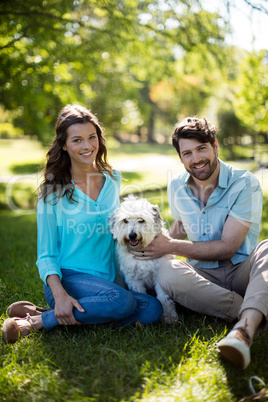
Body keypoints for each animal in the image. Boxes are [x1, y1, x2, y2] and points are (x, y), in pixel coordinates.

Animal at [109, 195, 180, 324]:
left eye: (141, 220)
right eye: (125, 220)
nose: (132, 235)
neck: (141, 250)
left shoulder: (159, 275)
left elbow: (164, 298)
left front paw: (169, 317)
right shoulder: (134, 279)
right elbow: (141, 294)